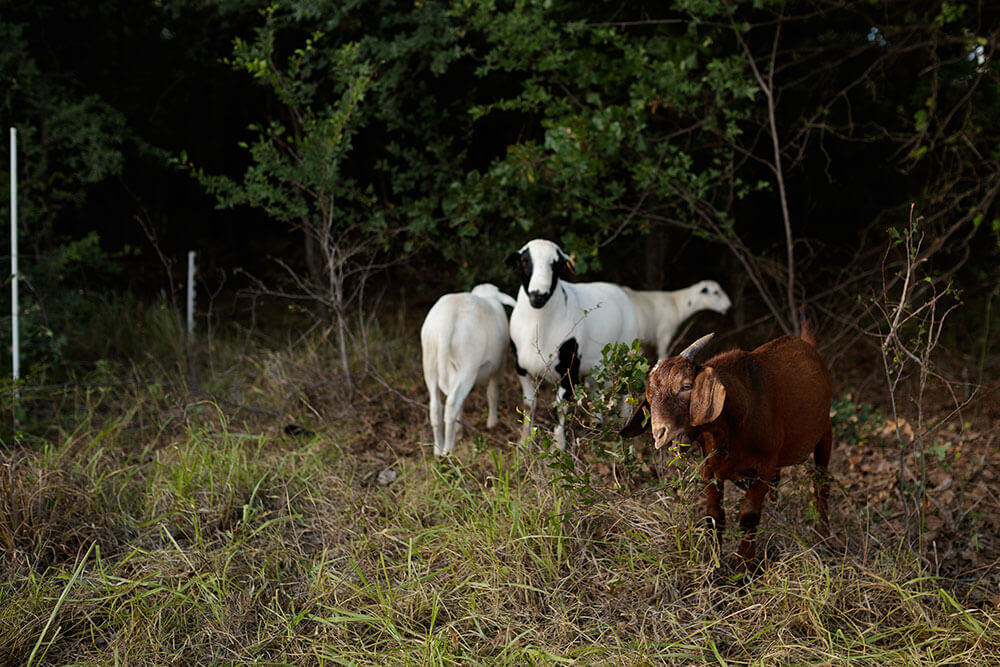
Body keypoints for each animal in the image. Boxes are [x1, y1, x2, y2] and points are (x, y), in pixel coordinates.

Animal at [420, 282, 516, 460]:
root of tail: (446, 319)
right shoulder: (500, 365)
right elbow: (492, 393)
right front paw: (492, 423)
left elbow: (462, 402)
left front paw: (459, 430)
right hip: (468, 365)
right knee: (451, 404)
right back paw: (448, 450)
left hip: (430, 360)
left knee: (436, 406)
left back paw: (437, 449)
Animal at [504, 237, 636, 452]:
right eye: (524, 261)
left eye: (557, 264)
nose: (538, 295)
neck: (538, 327)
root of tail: (618, 289)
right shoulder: (521, 368)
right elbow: (529, 405)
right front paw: (524, 443)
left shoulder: (569, 370)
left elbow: (559, 409)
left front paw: (558, 447)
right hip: (595, 366)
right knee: (597, 391)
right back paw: (595, 426)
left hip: (627, 353)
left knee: (626, 388)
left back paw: (624, 423)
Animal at [620, 326, 832, 568]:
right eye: (649, 397)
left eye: (686, 386)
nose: (659, 433)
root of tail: (806, 343)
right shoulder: (709, 468)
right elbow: (714, 514)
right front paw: (713, 565)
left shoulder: (765, 467)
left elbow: (749, 515)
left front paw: (745, 568)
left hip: (825, 430)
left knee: (821, 483)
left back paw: (823, 538)